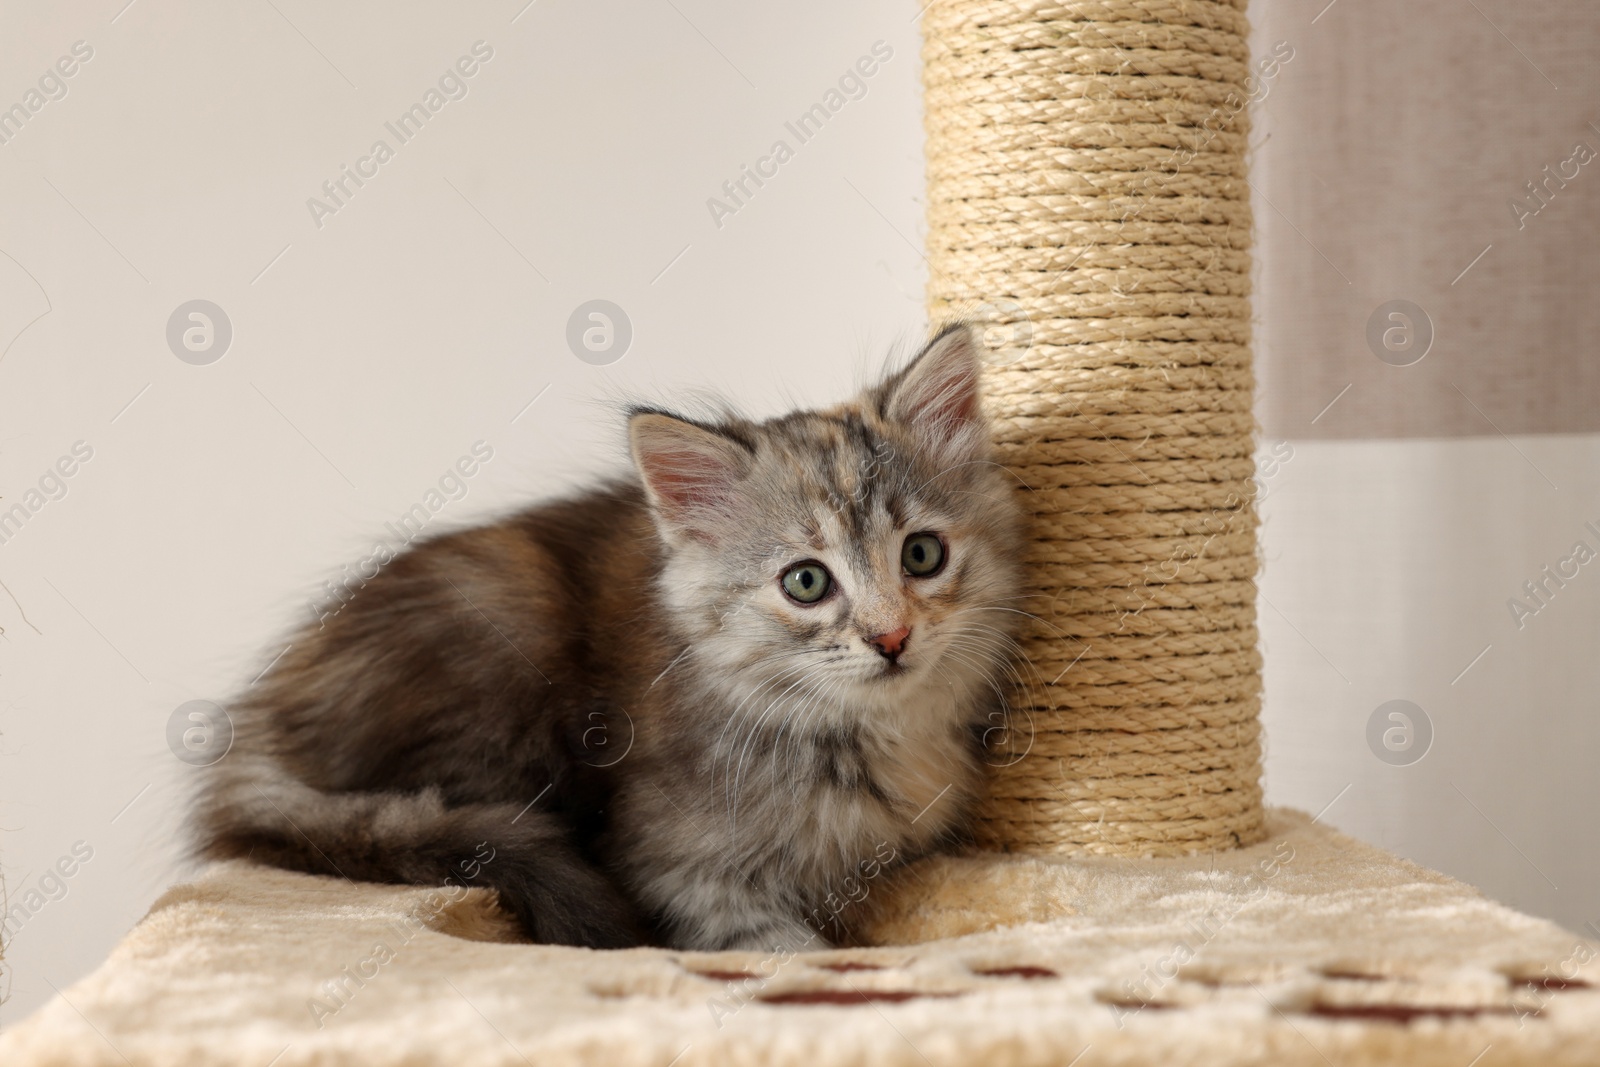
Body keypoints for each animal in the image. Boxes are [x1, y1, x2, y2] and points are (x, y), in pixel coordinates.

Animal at [193, 323, 1024, 953]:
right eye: (807, 582)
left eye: (922, 555)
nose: (892, 635)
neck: (873, 733)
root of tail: (256, 727)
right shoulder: (677, 868)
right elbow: (781, 949)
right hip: (501, 620)